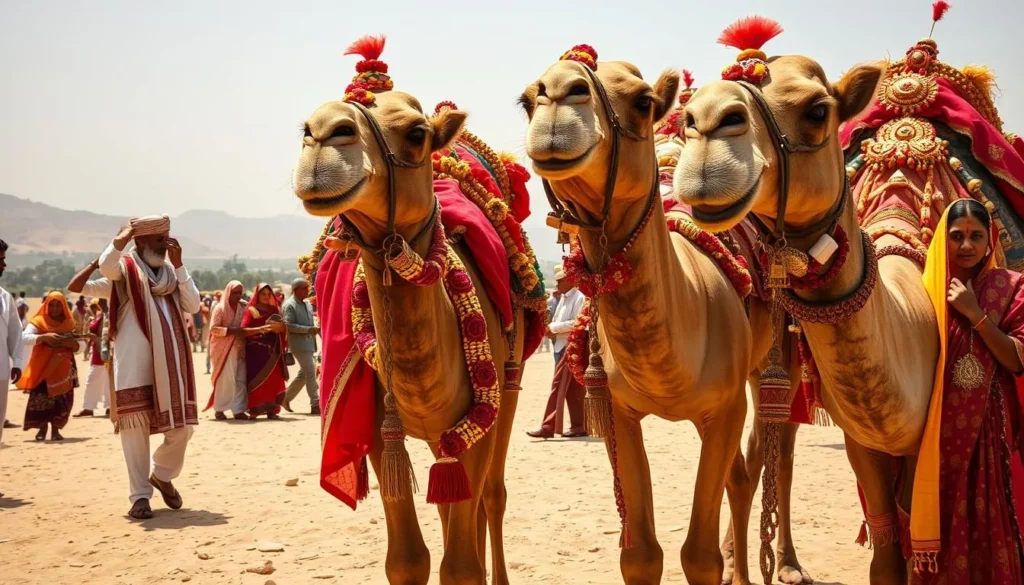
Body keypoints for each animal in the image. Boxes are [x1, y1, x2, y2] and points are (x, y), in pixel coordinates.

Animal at [294, 36, 545, 585]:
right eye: (308, 127)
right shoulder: (375, 431)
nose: (321, 134)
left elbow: (461, 563)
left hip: (511, 380)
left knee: (491, 497)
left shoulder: (481, 418)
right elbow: (408, 559)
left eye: (414, 133)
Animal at [519, 44, 807, 585]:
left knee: (774, 456)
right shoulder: (620, 410)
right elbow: (640, 554)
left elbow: (699, 555)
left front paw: (725, 563)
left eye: (643, 101)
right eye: (527, 100)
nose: (557, 96)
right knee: (741, 475)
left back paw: (785, 565)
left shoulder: (725, 405)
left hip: (779, 359)